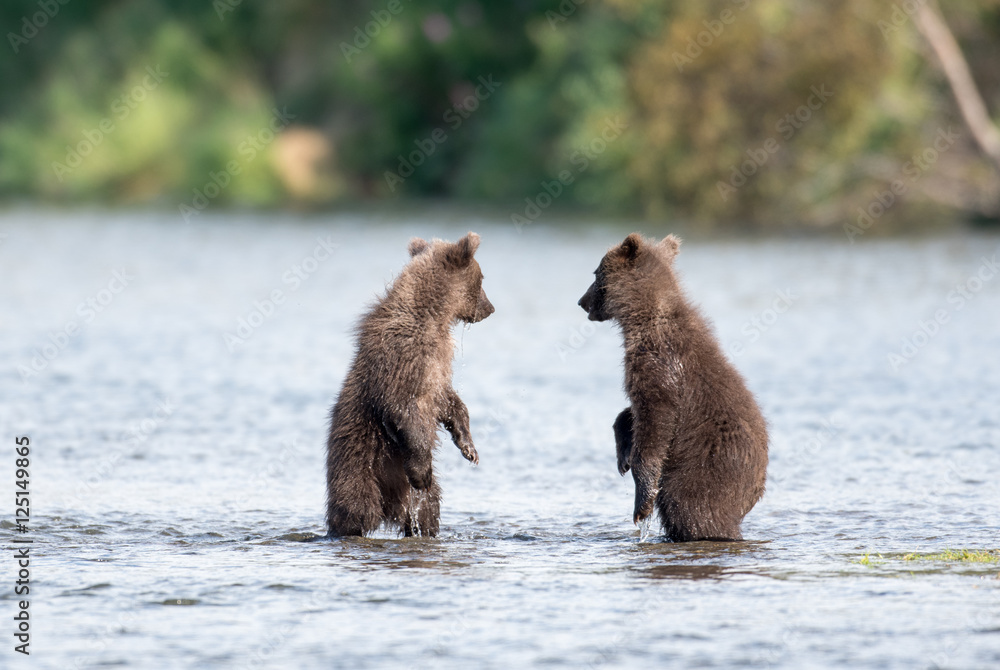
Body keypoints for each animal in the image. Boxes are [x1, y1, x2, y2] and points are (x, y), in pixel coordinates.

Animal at [325, 232, 494, 538]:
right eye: (482, 278)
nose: (491, 308)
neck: (433, 318)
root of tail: (389, 508)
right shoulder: (403, 356)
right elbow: (402, 407)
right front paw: (421, 472)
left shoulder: (437, 366)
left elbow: (448, 401)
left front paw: (469, 448)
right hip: (358, 462)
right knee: (355, 505)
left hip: (409, 495)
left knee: (428, 507)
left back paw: (422, 528)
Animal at [578, 233, 768, 542]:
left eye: (596, 274)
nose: (582, 302)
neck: (642, 320)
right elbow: (632, 412)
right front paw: (623, 453)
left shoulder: (659, 366)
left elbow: (656, 423)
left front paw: (642, 504)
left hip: (707, 468)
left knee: (690, 507)